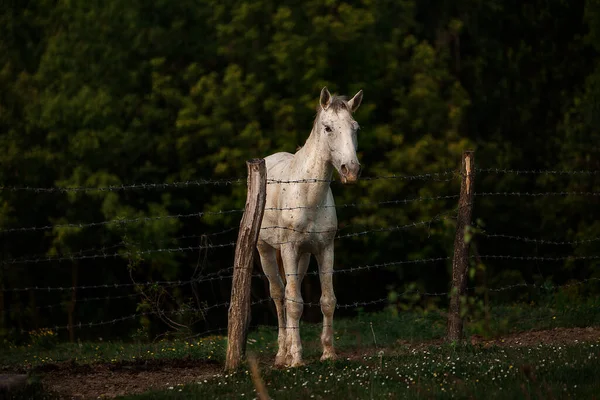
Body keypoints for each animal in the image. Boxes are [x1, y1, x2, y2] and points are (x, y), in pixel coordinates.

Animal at [256, 86, 360, 366]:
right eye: (328, 128)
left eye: (355, 128)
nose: (351, 170)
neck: (308, 194)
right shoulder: (289, 249)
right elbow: (293, 303)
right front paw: (296, 359)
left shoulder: (325, 249)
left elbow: (327, 300)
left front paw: (328, 353)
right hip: (266, 251)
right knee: (279, 294)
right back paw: (282, 354)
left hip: (302, 257)